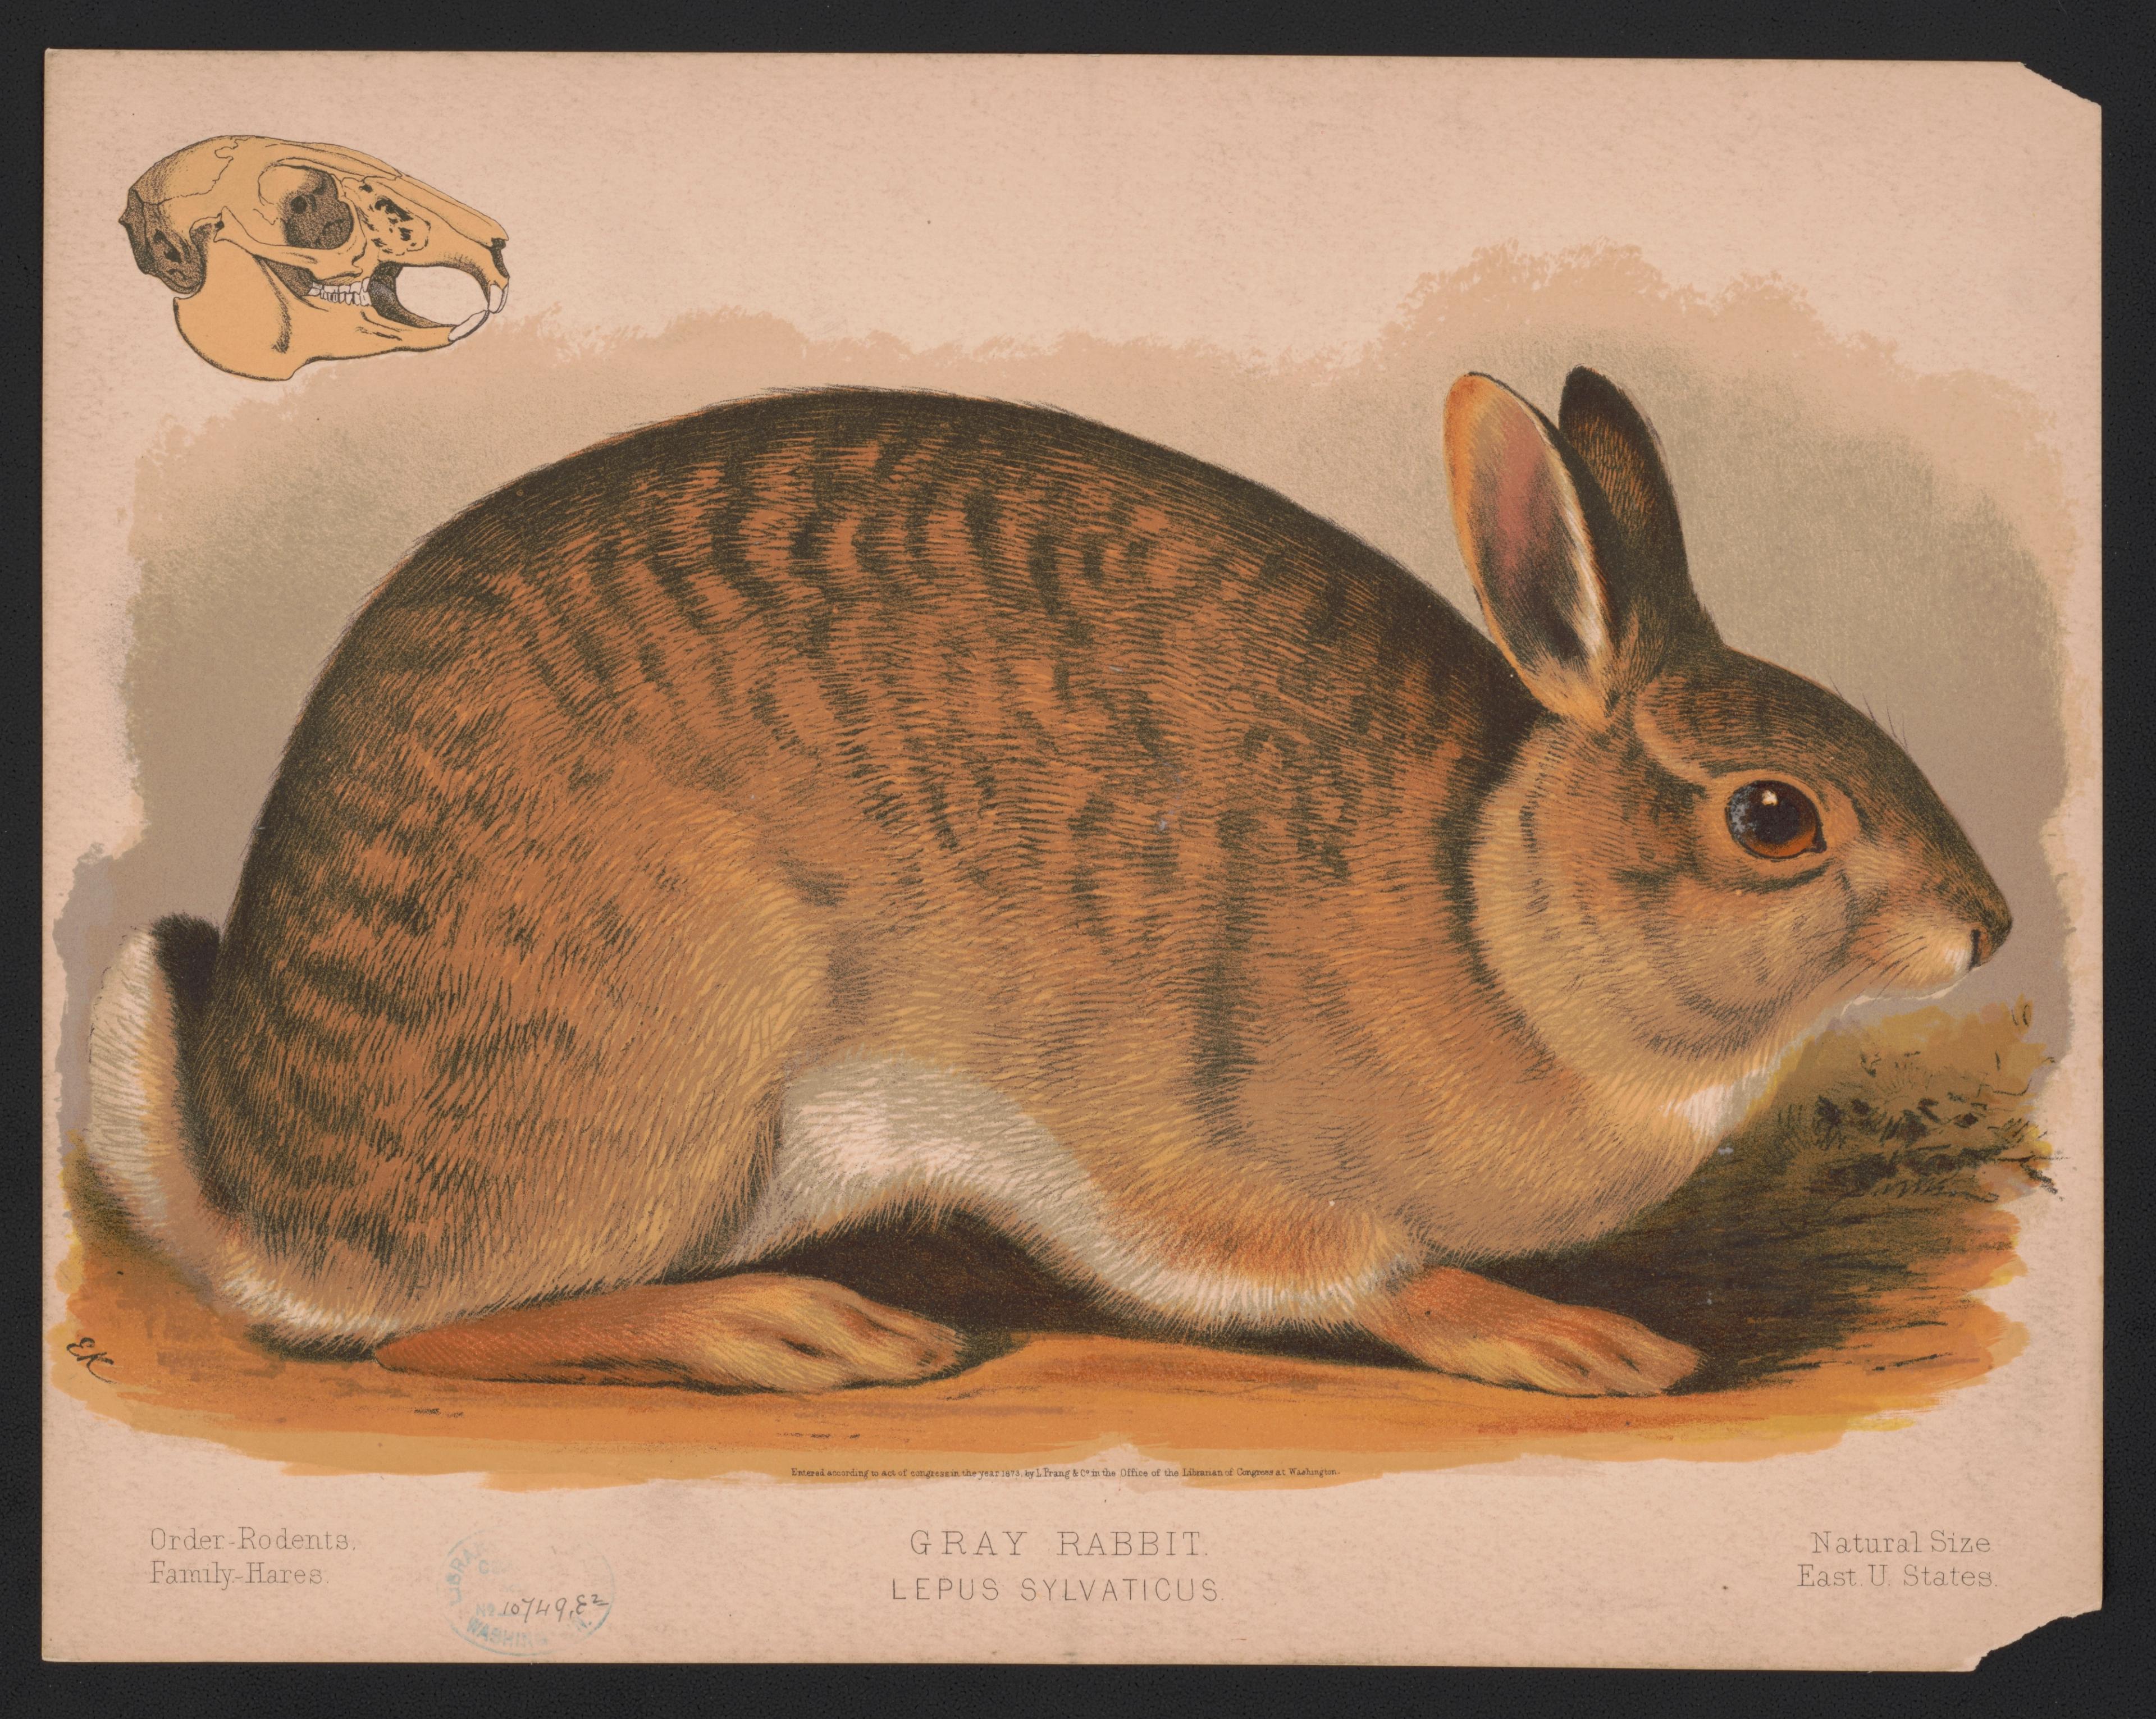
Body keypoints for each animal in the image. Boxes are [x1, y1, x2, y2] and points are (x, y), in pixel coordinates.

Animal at [81, 368, 2011, 1398]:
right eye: (1771, 817)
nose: (1986, 924)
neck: (1499, 916)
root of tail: (256, 1182)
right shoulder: (1189, 1145)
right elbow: (1338, 1268)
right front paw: (1564, 1340)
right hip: (658, 1071)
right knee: (433, 1337)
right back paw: (797, 1328)